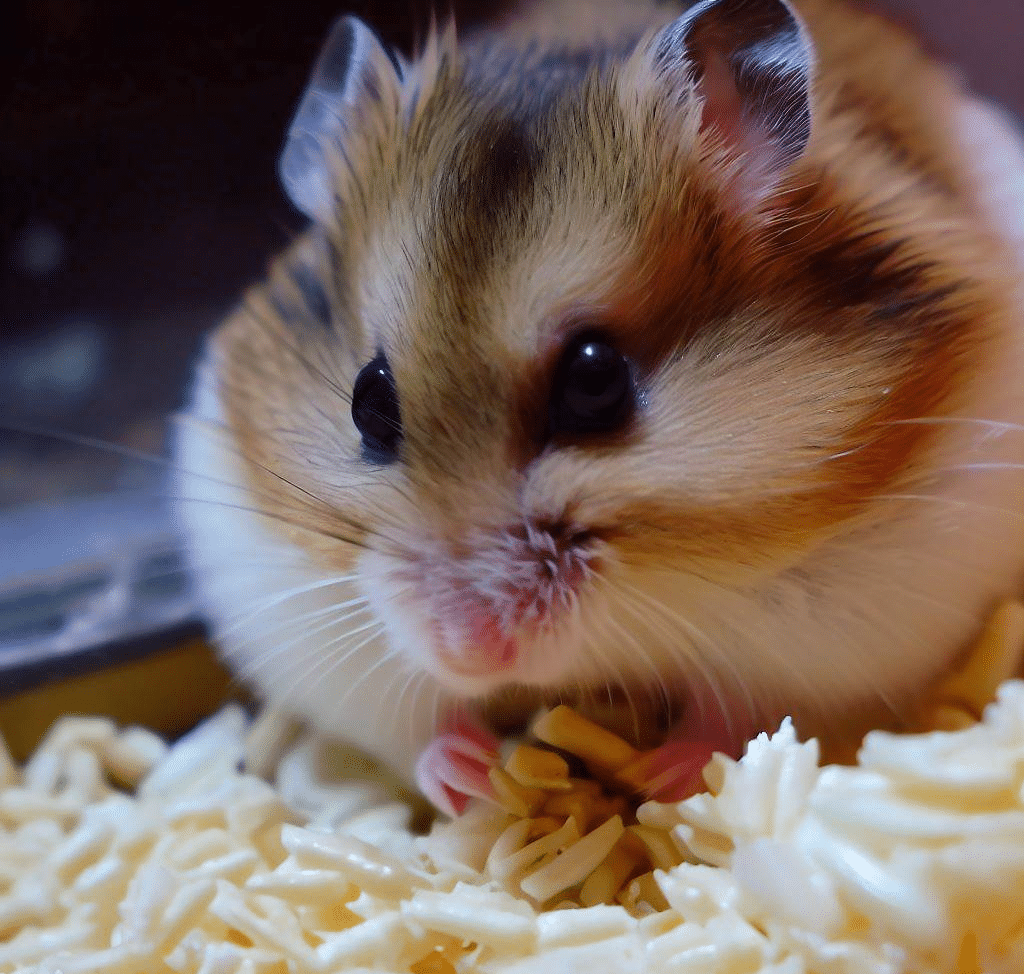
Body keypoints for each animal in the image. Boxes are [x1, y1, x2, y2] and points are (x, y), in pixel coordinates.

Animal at [172, 0, 1024, 819]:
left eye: (594, 382)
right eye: (368, 403)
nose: (470, 652)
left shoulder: (835, 630)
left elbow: (739, 711)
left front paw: (658, 777)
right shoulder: (311, 615)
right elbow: (414, 722)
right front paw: (480, 778)